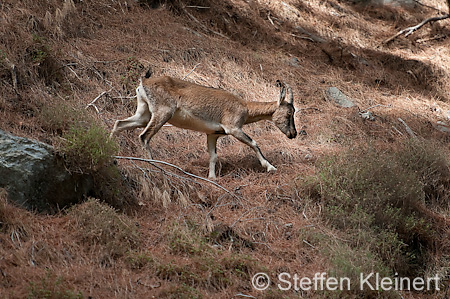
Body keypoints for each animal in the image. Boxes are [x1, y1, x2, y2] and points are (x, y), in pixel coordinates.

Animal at [110, 74, 298, 179]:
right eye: (290, 113)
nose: (293, 134)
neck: (245, 107)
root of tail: (144, 83)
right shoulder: (233, 128)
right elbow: (254, 143)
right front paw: (270, 167)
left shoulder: (212, 134)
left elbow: (213, 156)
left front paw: (212, 177)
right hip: (162, 112)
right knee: (144, 136)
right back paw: (153, 164)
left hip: (144, 113)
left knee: (120, 124)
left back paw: (110, 148)